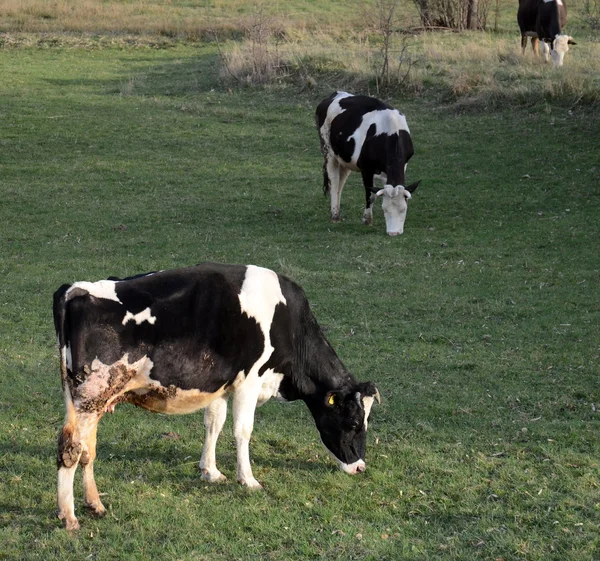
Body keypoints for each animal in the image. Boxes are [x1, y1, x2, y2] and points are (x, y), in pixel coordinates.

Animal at [52, 262, 380, 528]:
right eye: (353, 423)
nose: (360, 467)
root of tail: (74, 290)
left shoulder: (222, 385)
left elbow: (214, 423)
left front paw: (210, 471)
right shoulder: (250, 379)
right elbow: (242, 430)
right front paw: (247, 479)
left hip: (86, 400)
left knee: (87, 450)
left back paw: (95, 504)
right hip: (90, 396)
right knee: (71, 447)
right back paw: (69, 516)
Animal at [316, 91, 420, 235]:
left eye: (403, 209)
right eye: (385, 209)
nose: (393, 233)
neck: (391, 132)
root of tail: (336, 93)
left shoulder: (403, 165)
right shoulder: (366, 169)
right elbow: (370, 195)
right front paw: (367, 220)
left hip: (345, 158)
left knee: (340, 184)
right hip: (328, 151)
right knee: (334, 182)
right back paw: (335, 215)